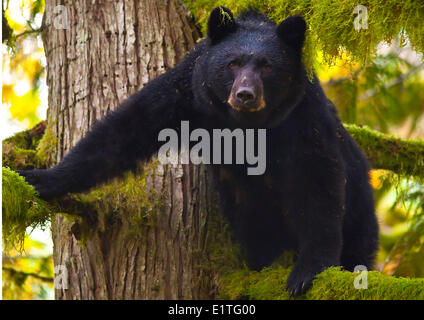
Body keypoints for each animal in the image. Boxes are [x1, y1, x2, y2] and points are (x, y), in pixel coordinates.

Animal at [18, 6, 380, 298]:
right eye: (233, 63)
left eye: (267, 66)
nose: (245, 94)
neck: (245, 125)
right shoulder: (187, 90)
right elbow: (126, 129)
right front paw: (42, 178)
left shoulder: (303, 114)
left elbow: (318, 180)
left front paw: (307, 272)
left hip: (362, 208)